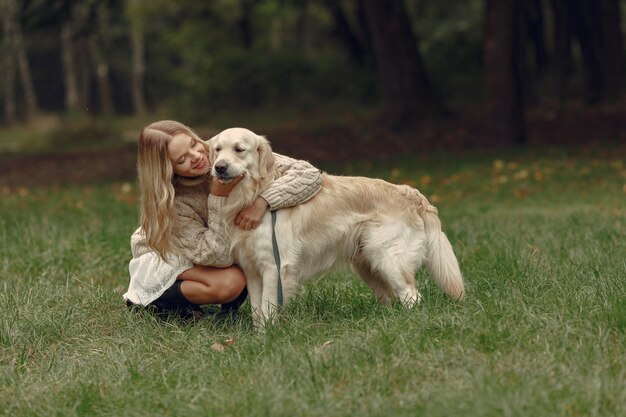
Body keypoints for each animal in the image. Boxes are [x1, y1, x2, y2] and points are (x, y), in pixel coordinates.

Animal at [210, 127, 464, 328]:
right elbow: (257, 310)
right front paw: (259, 336)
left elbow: (268, 308)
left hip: (389, 259)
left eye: (239, 149)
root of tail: (408, 191)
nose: (219, 167)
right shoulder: (252, 269)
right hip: (369, 265)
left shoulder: (275, 266)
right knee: (391, 297)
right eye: (217, 150)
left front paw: (268, 337)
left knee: (412, 295)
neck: (253, 194)